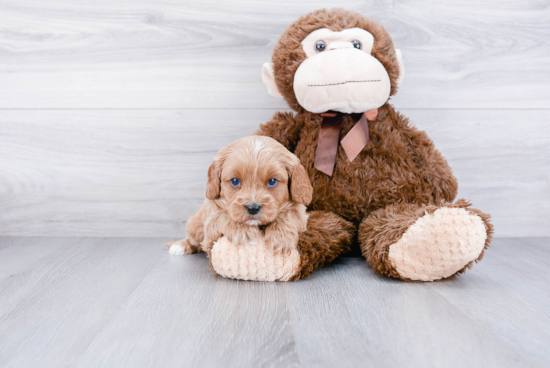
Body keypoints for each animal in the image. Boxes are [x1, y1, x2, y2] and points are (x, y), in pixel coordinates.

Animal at [164, 135, 312, 258]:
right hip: (195, 225)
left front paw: (281, 236)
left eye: (272, 181)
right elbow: (223, 215)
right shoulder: (211, 222)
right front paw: (243, 230)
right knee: (193, 238)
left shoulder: (300, 213)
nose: (253, 208)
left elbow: (289, 213)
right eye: (235, 181)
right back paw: (180, 245)